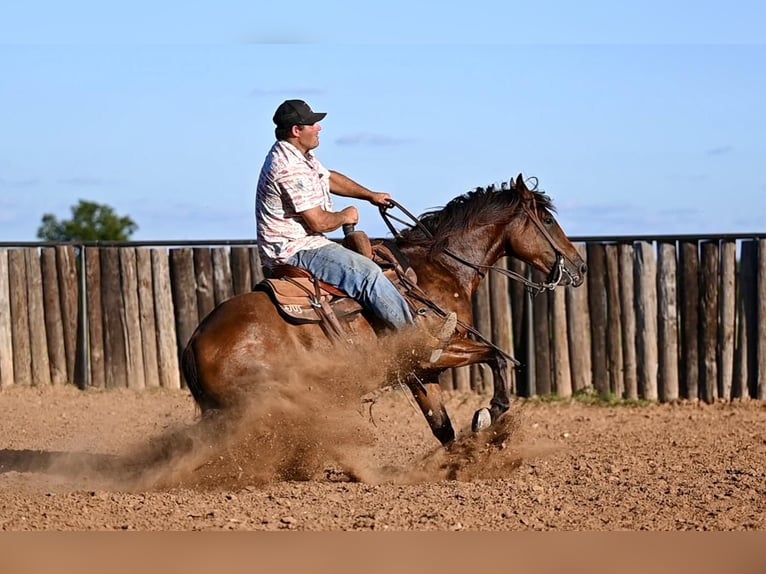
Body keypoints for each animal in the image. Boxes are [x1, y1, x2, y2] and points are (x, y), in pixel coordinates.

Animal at [182, 176, 588, 450]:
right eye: (547, 220)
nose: (580, 265)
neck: (441, 268)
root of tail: (194, 342)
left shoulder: (421, 373)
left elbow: (442, 427)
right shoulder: (438, 352)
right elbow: (498, 357)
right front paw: (487, 414)